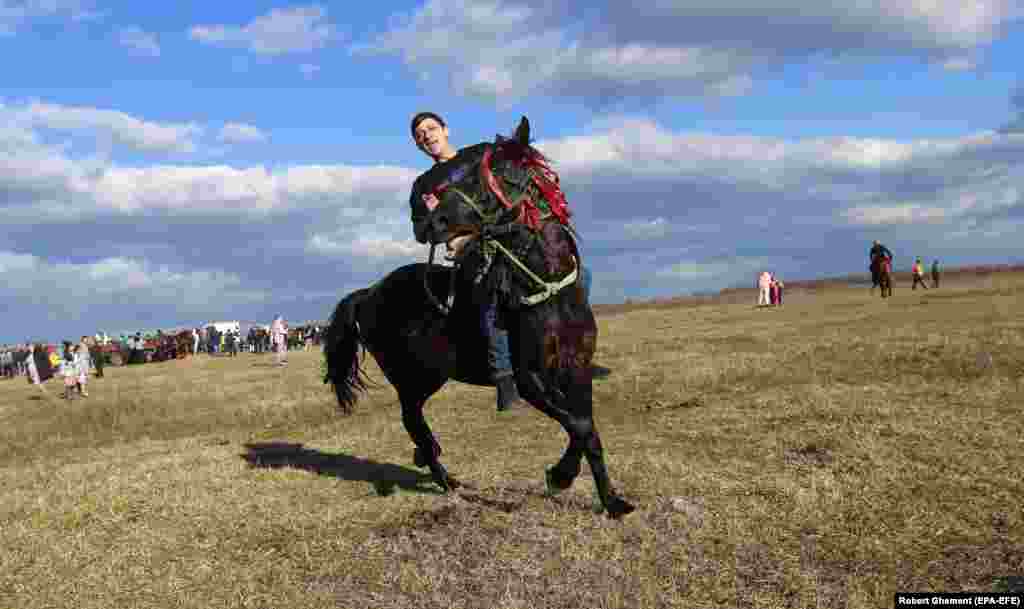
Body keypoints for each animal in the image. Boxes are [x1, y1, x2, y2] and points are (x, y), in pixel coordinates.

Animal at [323, 116, 634, 517]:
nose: (434, 221)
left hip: (429, 376)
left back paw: (432, 462)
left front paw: (602, 495)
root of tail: (368, 293)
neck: (550, 294)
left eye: (483, 177)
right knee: (411, 419)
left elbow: (585, 426)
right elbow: (581, 428)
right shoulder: (530, 380)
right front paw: (569, 481)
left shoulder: (576, 369)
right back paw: (445, 477)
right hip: (406, 377)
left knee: (417, 420)